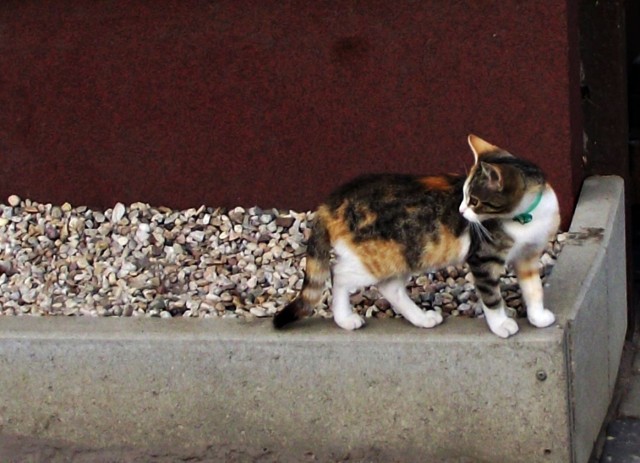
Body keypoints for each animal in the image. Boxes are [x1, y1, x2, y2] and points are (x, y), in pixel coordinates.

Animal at [274, 134, 560, 338]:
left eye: (474, 200)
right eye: (465, 196)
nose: (461, 210)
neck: (525, 218)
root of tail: (331, 201)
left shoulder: (529, 256)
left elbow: (533, 289)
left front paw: (538, 316)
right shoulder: (482, 258)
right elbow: (491, 295)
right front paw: (501, 324)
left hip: (407, 252)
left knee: (390, 287)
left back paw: (421, 319)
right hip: (379, 257)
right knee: (340, 274)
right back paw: (345, 319)